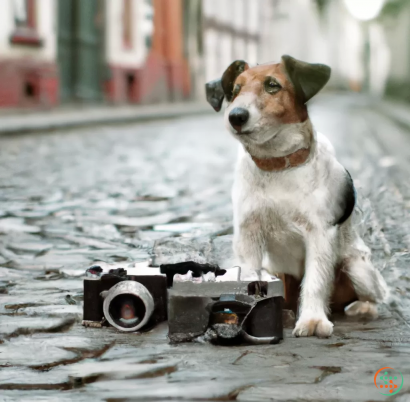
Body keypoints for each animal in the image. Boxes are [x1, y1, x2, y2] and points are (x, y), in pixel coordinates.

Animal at [207, 55, 390, 338]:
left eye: (273, 85)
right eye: (235, 90)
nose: (235, 116)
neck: (278, 166)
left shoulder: (319, 234)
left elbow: (314, 282)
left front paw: (313, 320)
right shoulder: (248, 235)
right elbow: (249, 277)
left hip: (357, 269)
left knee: (374, 296)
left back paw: (360, 308)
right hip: (276, 272)